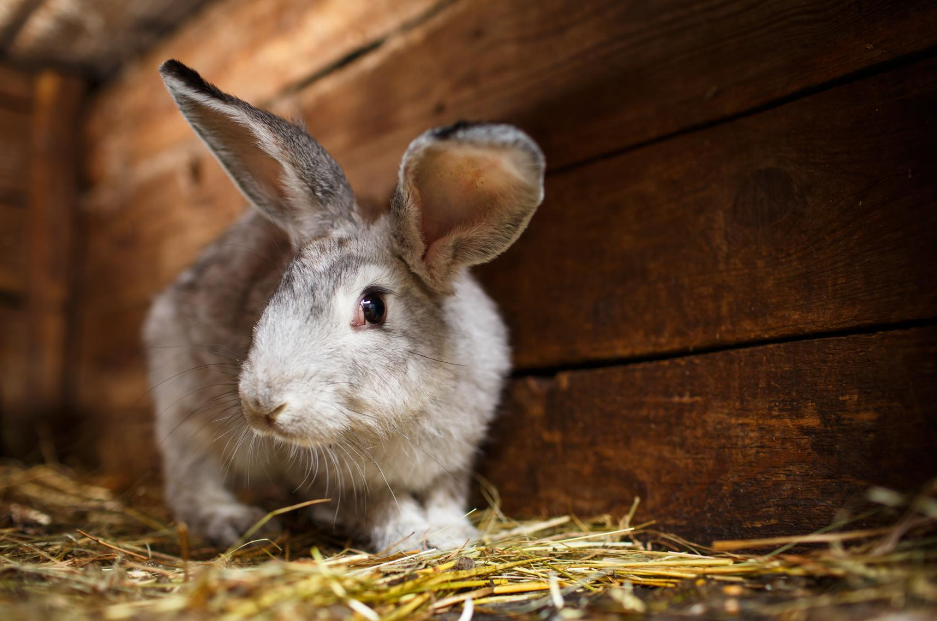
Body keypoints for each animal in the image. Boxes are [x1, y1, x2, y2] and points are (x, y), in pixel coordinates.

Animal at [143, 59, 545, 552]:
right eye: (282, 287)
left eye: (373, 307)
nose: (262, 404)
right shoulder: (342, 483)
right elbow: (381, 505)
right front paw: (409, 537)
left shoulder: (455, 460)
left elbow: (446, 494)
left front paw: (453, 535)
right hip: (185, 412)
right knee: (190, 482)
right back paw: (233, 520)